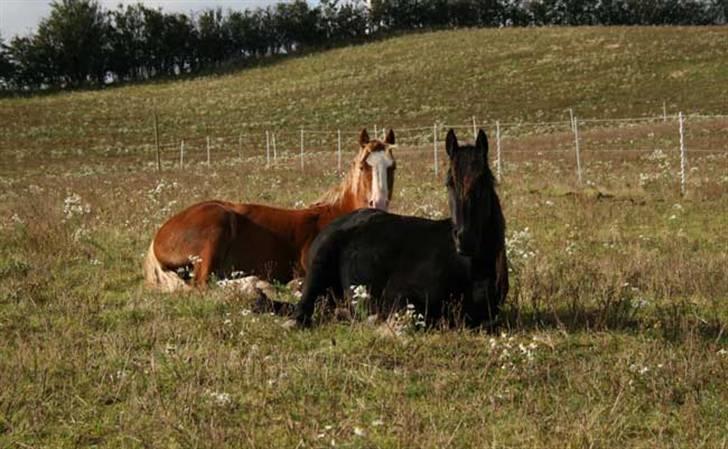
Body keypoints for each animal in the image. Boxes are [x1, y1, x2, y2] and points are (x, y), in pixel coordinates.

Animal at [144, 128, 398, 292]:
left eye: (392, 167)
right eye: (363, 166)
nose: (379, 203)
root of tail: (158, 237)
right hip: (217, 226)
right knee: (203, 284)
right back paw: (256, 283)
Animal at [260, 128, 506, 328]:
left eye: (484, 180)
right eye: (449, 183)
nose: (466, 239)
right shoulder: (401, 296)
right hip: (318, 270)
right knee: (302, 311)